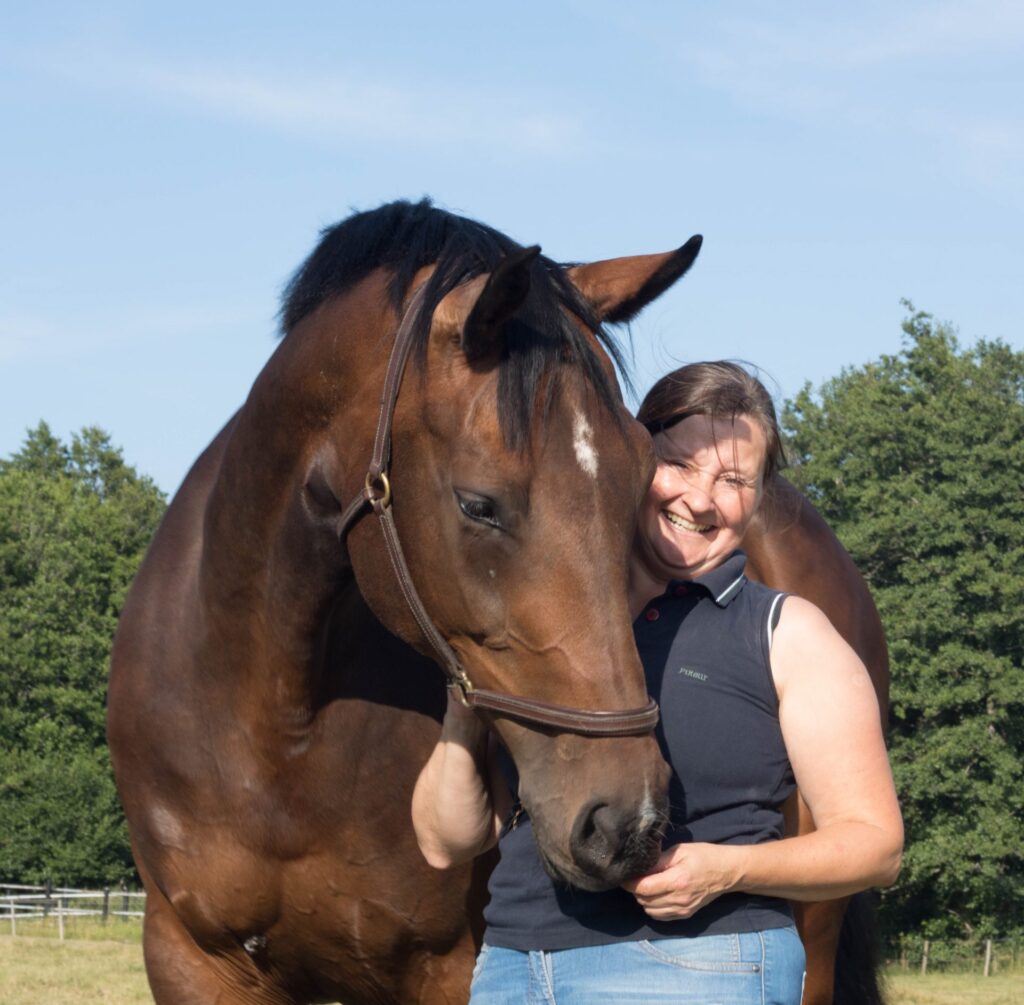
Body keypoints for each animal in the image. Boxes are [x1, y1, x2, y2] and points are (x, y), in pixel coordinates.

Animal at [110, 197, 704, 1003]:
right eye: (479, 504)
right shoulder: (189, 956)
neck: (276, 727)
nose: (627, 823)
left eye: (643, 484)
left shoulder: (449, 964)